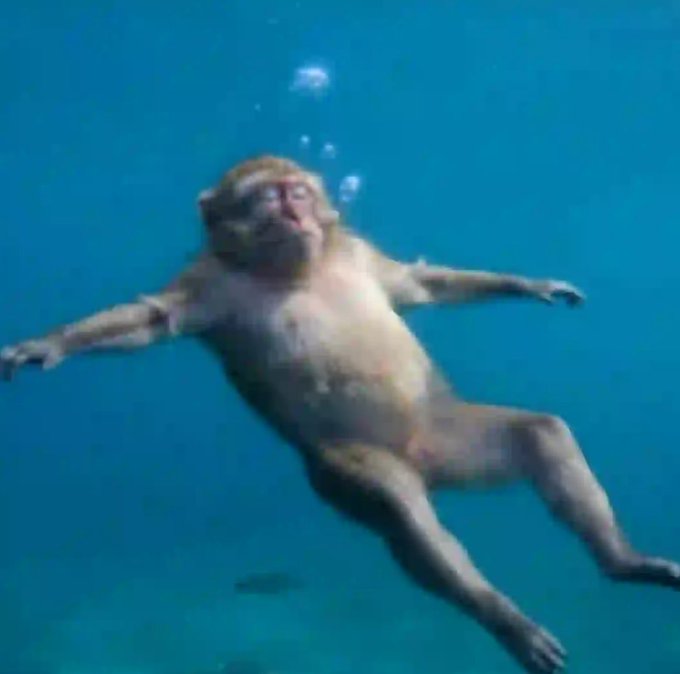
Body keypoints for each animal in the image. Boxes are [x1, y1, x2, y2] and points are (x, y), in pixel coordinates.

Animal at [2, 155, 679, 674]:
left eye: (297, 190)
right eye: (264, 196)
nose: (293, 210)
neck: (297, 267)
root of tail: (425, 462)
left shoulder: (355, 252)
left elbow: (419, 284)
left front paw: (531, 285)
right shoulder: (205, 283)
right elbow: (149, 320)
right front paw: (47, 346)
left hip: (446, 433)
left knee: (540, 433)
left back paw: (623, 563)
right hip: (342, 468)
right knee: (398, 507)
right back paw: (504, 617)